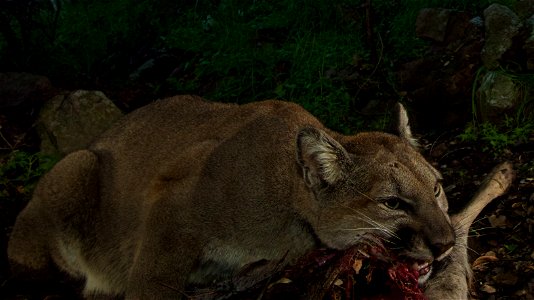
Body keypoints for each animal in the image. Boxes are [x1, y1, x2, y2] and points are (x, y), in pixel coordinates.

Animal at [8, 95, 462, 298]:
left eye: (436, 187)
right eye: (392, 203)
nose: (446, 243)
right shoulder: (172, 200)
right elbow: (153, 281)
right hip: (77, 166)